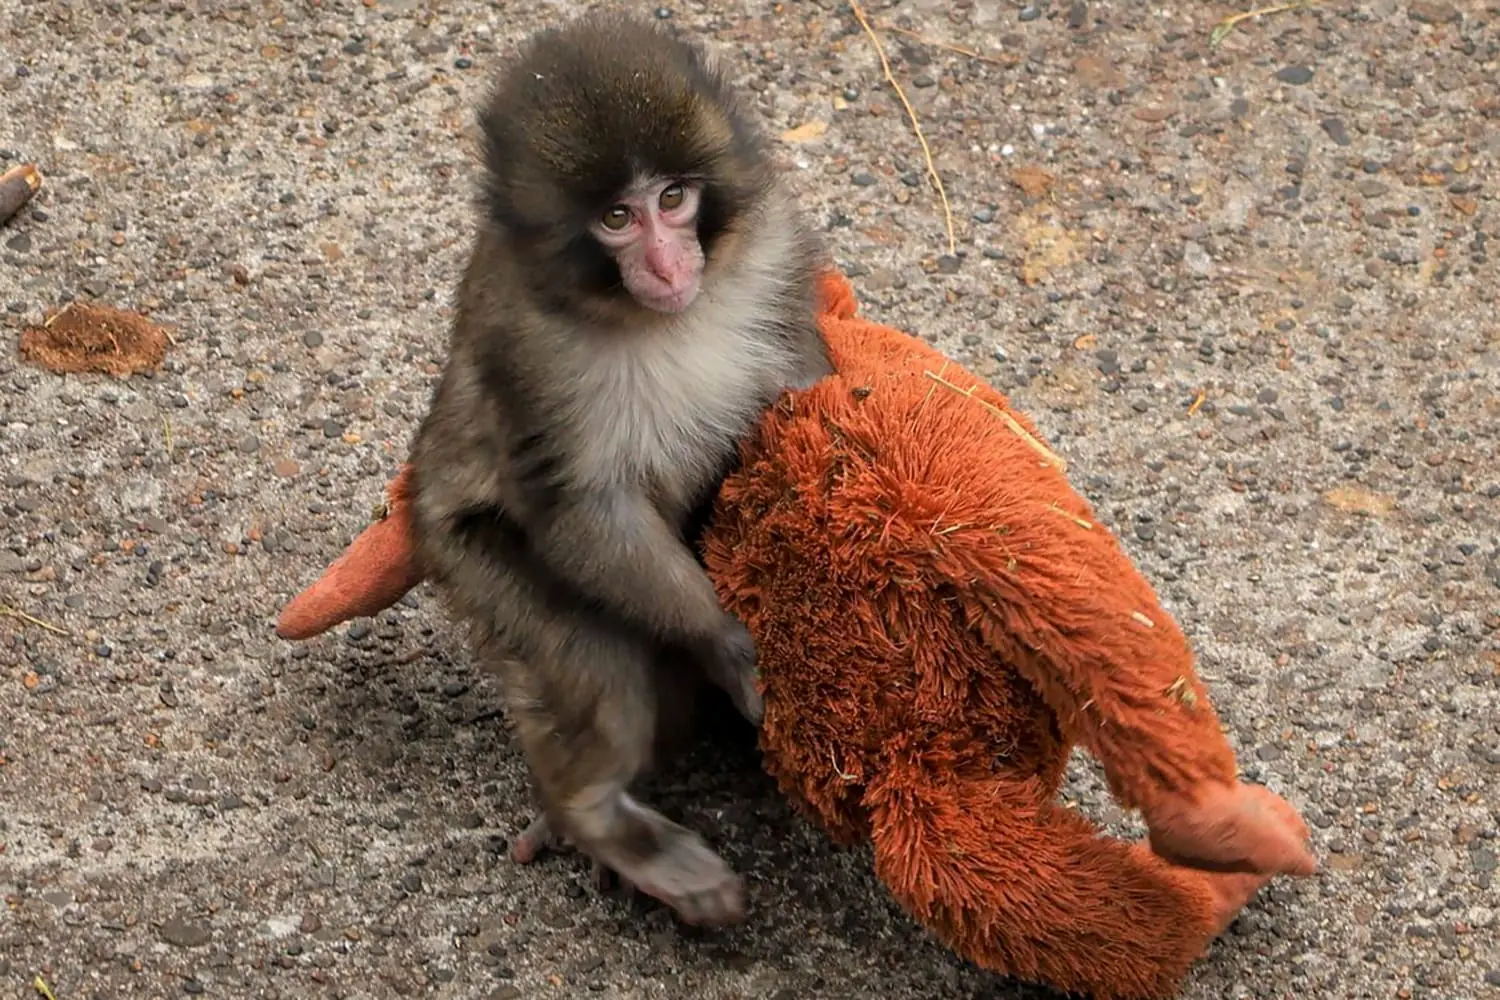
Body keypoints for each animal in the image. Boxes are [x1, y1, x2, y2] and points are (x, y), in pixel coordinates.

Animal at [405, 11, 834, 927]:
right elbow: (580, 508)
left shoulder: (775, 253)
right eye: (614, 217)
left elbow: (806, 390)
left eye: (672, 199)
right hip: (467, 558)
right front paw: (726, 642)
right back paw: (597, 818)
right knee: (600, 665)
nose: (669, 266)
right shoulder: (527, 346)